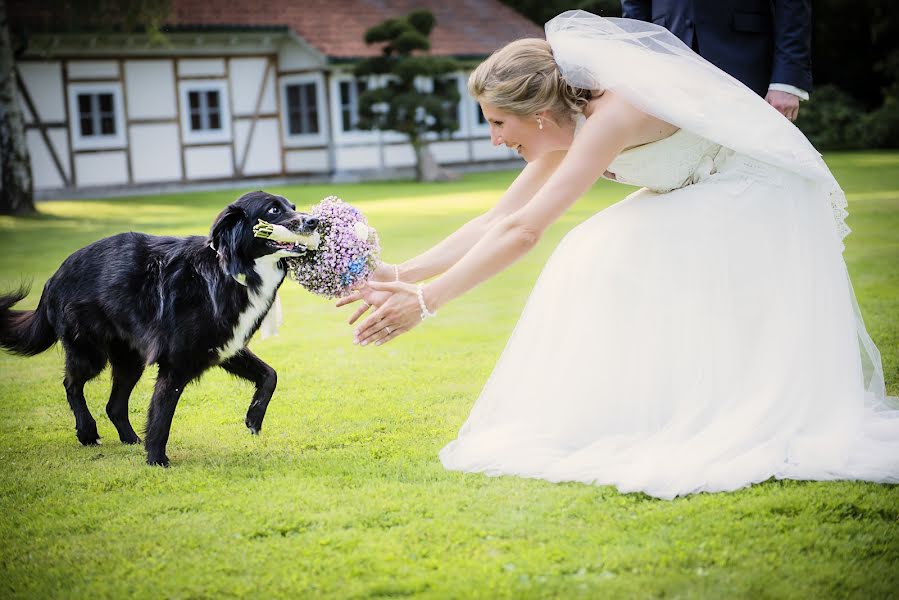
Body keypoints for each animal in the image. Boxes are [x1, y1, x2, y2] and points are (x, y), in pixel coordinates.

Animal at [0, 190, 318, 466]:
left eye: (292, 206)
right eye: (273, 210)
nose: (314, 221)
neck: (228, 268)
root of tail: (55, 275)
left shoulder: (225, 345)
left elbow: (270, 375)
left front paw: (254, 419)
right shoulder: (176, 362)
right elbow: (162, 413)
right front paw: (156, 460)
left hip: (130, 360)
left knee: (114, 405)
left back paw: (130, 439)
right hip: (89, 352)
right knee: (72, 384)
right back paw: (87, 431)